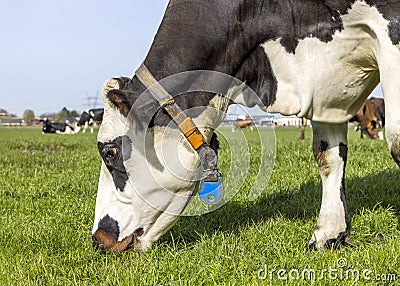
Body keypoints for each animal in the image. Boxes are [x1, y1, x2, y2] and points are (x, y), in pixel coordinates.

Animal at [92, 1, 400, 254]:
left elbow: (396, 141)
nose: (98, 238)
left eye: (109, 152)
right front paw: (329, 233)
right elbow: (328, 156)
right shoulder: (325, 85)